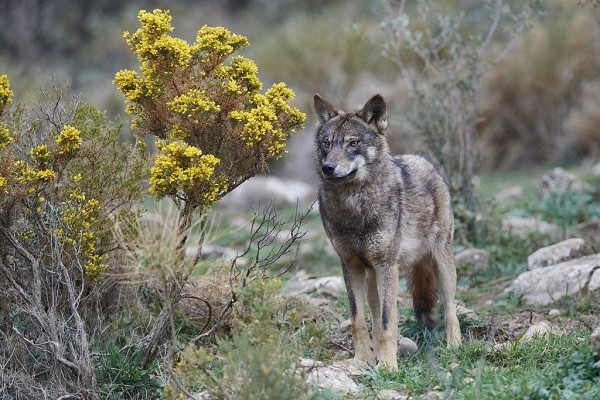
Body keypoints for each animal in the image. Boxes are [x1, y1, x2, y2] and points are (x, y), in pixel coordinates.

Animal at [312, 93, 462, 368]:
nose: (328, 167)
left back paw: (454, 347)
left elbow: (386, 323)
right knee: (373, 314)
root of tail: (422, 160)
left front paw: (388, 366)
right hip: (373, 277)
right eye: (327, 144)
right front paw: (361, 360)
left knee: (450, 309)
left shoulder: (387, 266)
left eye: (353, 143)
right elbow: (359, 320)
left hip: (441, 263)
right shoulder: (350, 265)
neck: (354, 207)